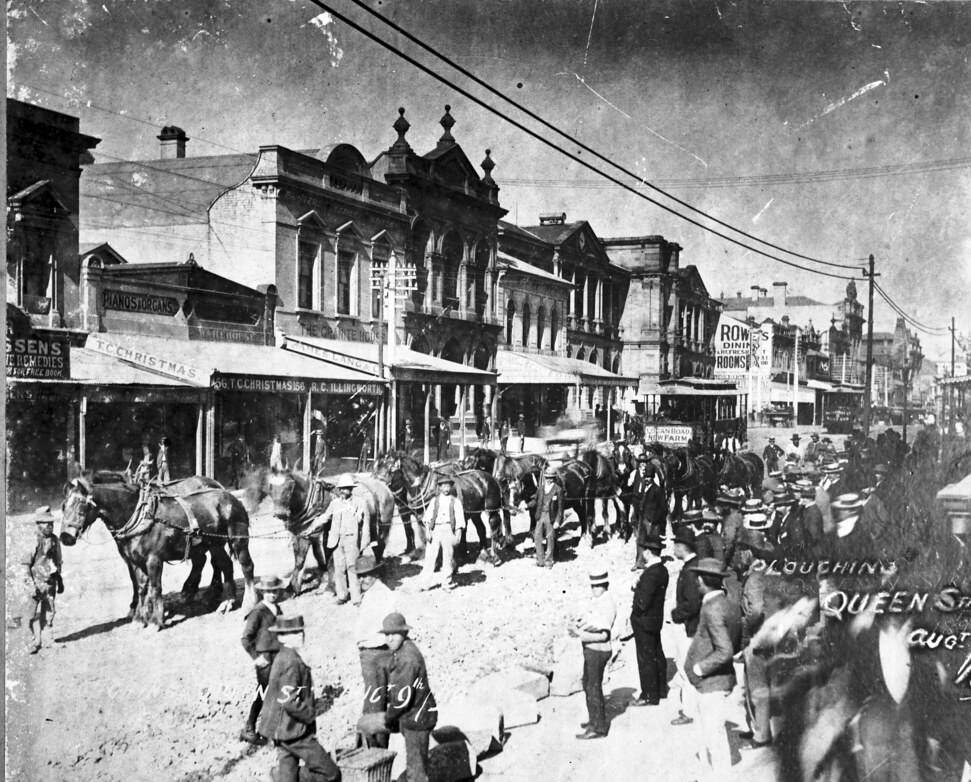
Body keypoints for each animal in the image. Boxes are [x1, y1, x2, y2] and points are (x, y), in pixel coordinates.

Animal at [60, 478, 254, 632]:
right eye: (63, 506)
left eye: (81, 505)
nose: (65, 536)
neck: (141, 516)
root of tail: (230, 496)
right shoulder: (135, 561)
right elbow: (140, 588)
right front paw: (139, 619)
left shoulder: (154, 560)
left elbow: (155, 588)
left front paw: (155, 621)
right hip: (214, 544)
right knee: (224, 564)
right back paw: (227, 601)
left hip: (238, 539)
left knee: (246, 566)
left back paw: (247, 605)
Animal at [266, 468, 394, 596]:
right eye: (270, 486)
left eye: (291, 485)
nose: (280, 514)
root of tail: (385, 487)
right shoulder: (302, 534)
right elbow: (301, 559)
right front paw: (293, 588)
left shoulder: (326, 534)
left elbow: (328, 559)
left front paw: (331, 587)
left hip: (383, 527)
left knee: (379, 548)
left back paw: (379, 573)